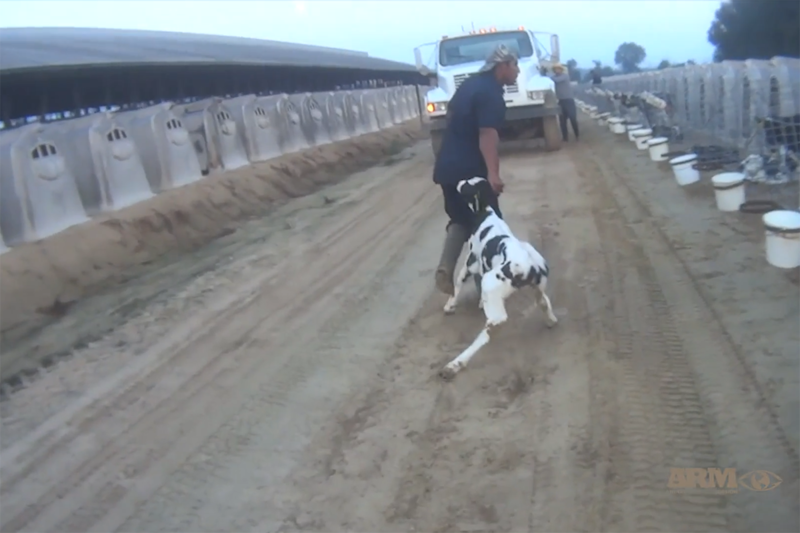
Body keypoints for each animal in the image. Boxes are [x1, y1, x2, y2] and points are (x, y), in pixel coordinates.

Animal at [438, 177, 556, 380]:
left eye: (468, 185)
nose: (459, 181)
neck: (487, 214)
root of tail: (530, 267)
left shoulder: (471, 262)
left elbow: (458, 281)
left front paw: (450, 304)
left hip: (491, 289)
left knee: (492, 327)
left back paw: (455, 364)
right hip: (538, 286)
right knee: (543, 301)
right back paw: (551, 319)